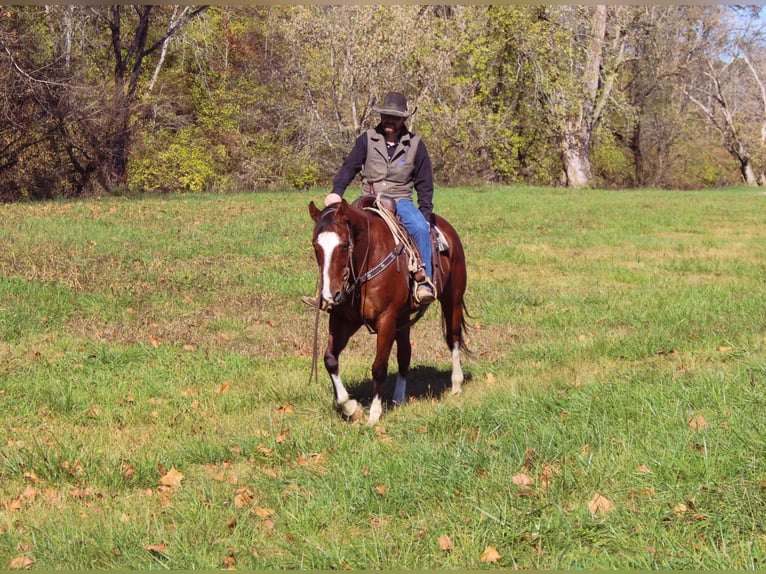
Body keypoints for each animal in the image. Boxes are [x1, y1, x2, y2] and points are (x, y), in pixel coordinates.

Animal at [310, 198, 468, 428]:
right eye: (316, 245)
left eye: (345, 245)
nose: (331, 295)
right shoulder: (343, 320)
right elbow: (330, 359)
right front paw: (351, 408)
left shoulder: (386, 320)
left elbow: (379, 367)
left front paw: (374, 415)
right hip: (402, 318)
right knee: (405, 353)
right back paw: (399, 398)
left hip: (452, 300)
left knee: (453, 339)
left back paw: (456, 385)